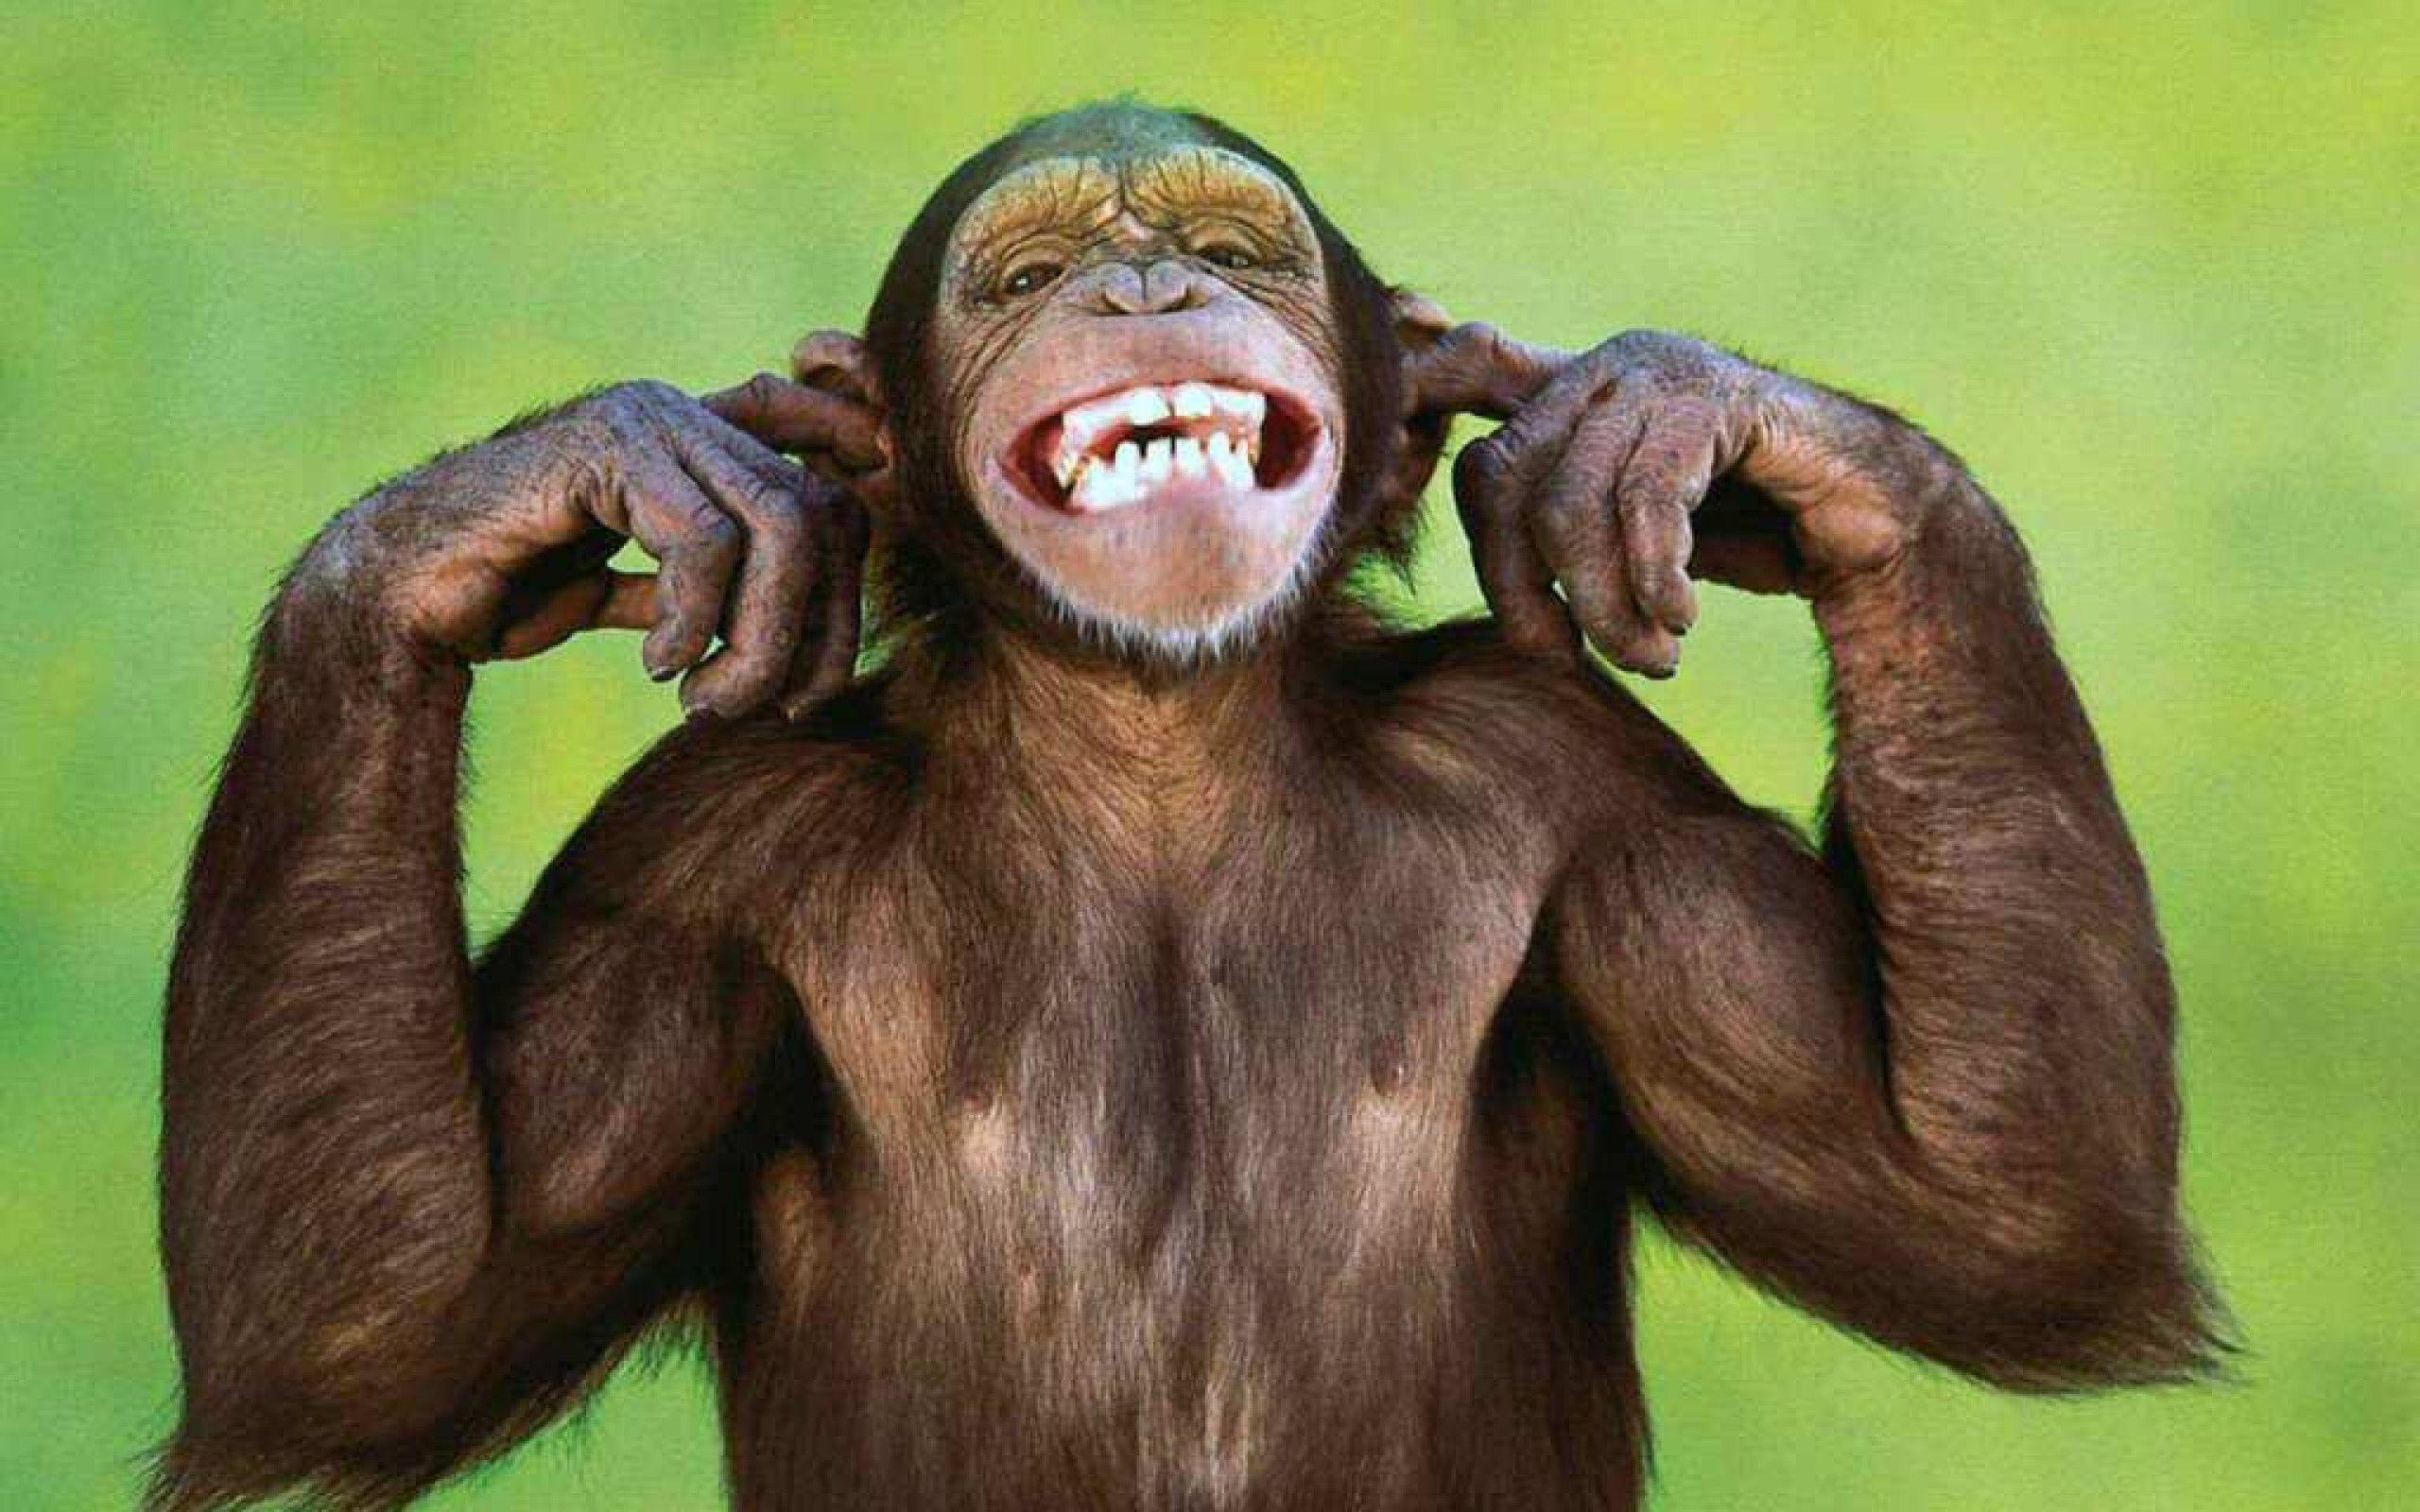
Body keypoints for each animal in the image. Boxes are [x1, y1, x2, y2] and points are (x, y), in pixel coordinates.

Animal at [154, 101, 2224, 1512]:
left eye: (1237, 252)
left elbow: (1983, 1207)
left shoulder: (1580, 791)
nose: (1143, 281)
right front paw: (557, 487)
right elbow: (375, 1313)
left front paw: (1677, 415)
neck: (1152, 753)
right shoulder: (697, 865)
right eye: (1019, 275)